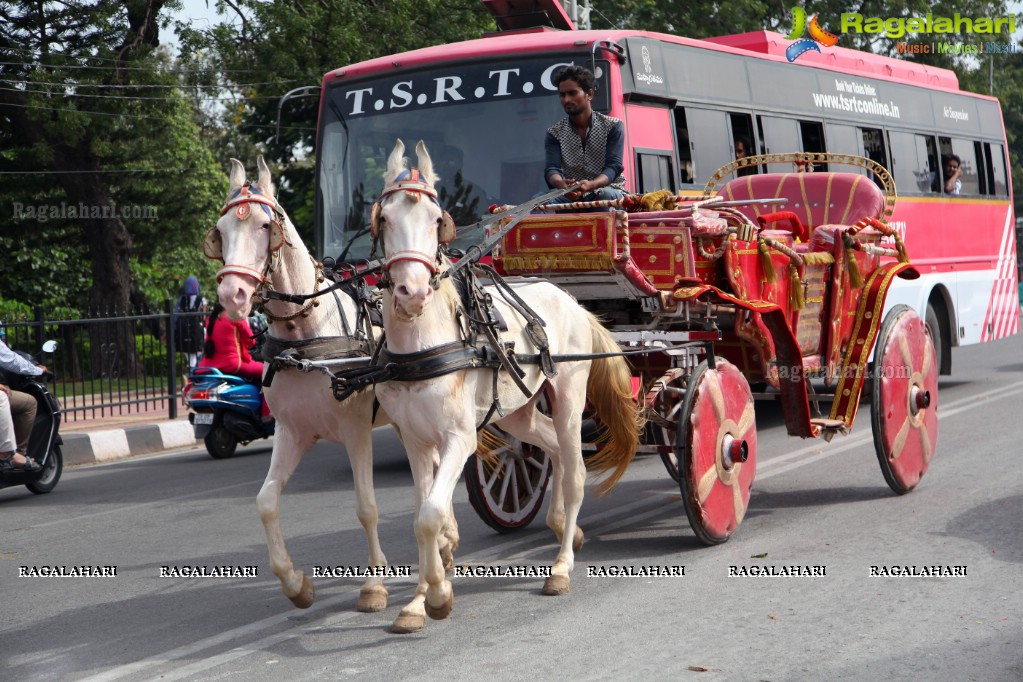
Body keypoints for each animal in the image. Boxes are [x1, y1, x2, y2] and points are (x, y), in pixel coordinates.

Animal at [372, 140, 642, 633]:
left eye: (436, 220)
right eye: (384, 219)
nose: (412, 293)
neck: (425, 343)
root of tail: (570, 299)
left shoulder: (458, 438)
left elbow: (430, 516)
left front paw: (437, 595)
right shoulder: (415, 441)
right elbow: (423, 515)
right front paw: (419, 599)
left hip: (569, 398)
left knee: (574, 469)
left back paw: (561, 566)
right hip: (518, 412)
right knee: (550, 447)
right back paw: (564, 525)